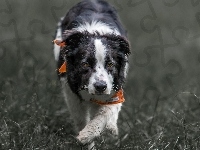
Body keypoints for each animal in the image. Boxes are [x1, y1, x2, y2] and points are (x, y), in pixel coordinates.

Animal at [53, 0, 130, 148]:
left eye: (110, 64)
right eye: (85, 64)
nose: (100, 87)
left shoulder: (115, 87)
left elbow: (105, 113)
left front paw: (88, 135)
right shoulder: (71, 92)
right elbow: (81, 118)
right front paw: (86, 141)